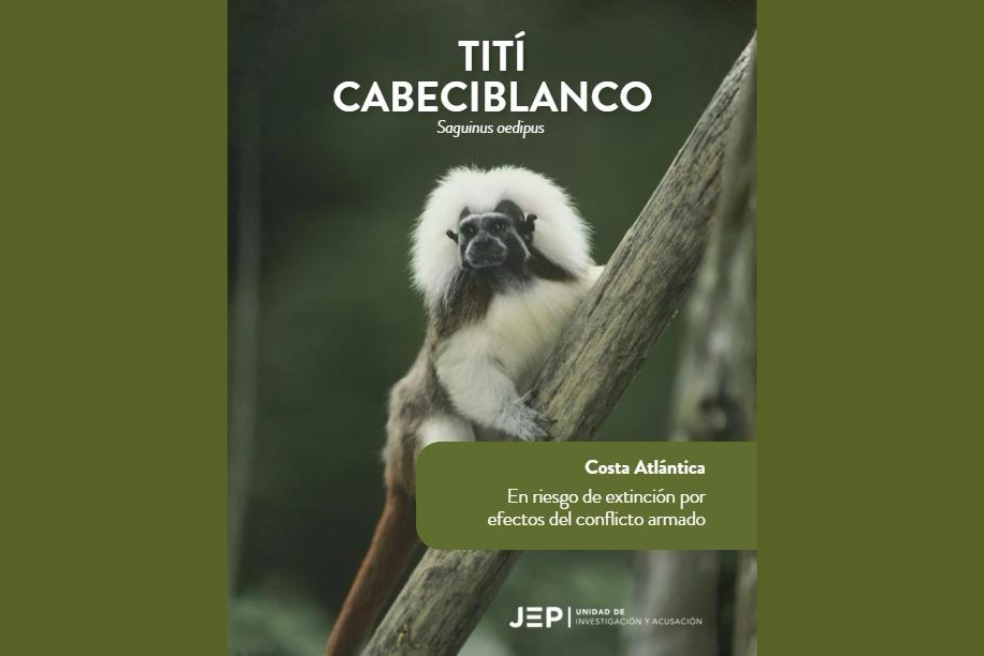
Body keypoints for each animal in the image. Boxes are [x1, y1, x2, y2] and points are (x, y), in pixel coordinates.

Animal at [324, 166, 603, 656]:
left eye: (499, 227)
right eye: (470, 231)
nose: (481, 244)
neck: (511, 284)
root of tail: (397, 475)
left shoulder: (564, 287)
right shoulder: (460, 317)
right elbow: (460, 368)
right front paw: (517, 420)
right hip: (415, 428)